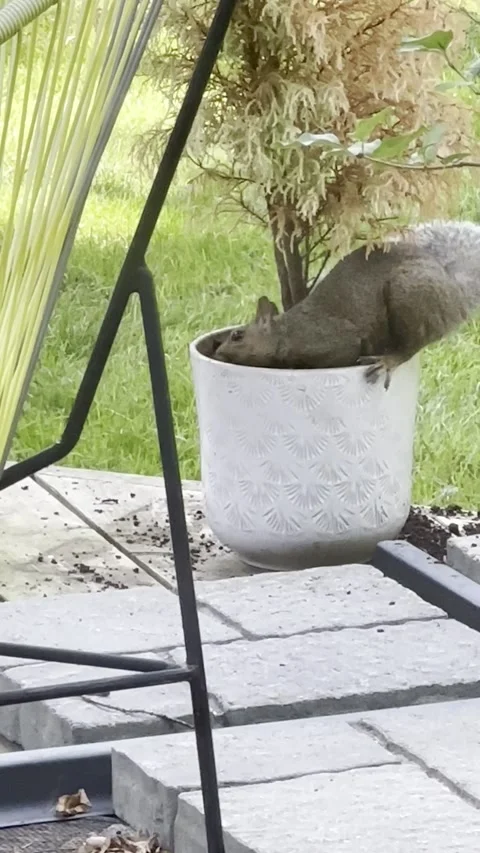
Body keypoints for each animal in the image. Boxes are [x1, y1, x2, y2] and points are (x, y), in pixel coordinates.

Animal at [213, 220, 480, 389]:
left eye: (237, 336)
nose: (217, 353)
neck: (287, 333)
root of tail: (453, 292)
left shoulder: (333, 341)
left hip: (410, 298)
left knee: (412, 345)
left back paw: (387, 360)